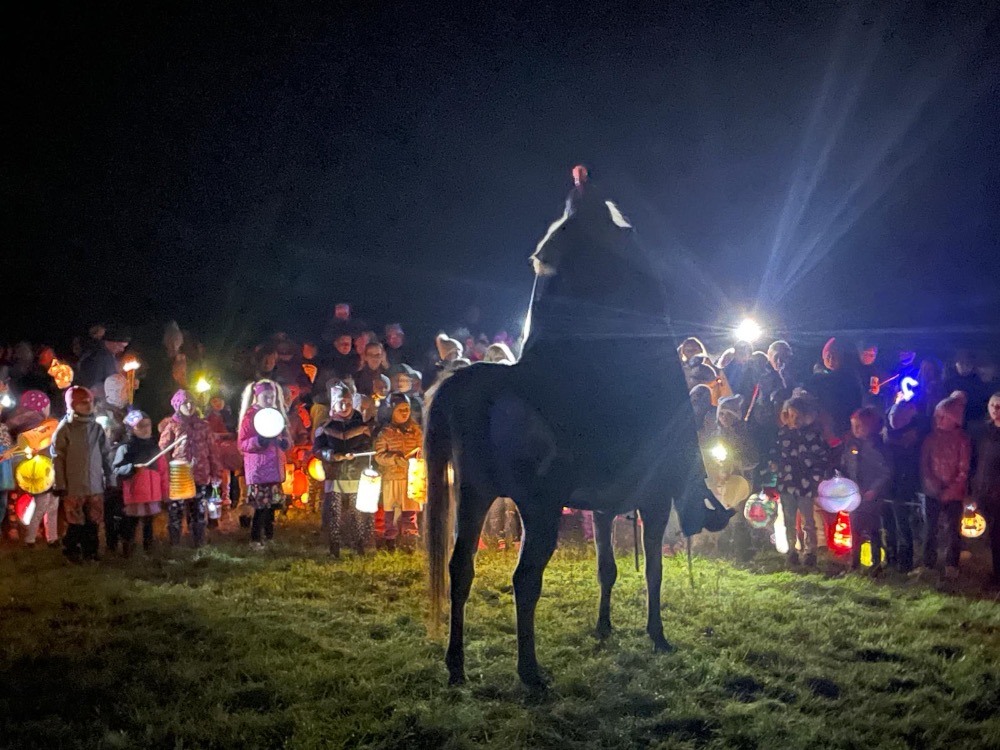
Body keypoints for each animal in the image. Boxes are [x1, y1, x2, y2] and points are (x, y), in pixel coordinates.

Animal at [426, 169, 732, 688]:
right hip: (539, 506)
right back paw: (530, 672)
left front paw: (604, 625)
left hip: (473, 494)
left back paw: (456, 665)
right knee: (524, 580)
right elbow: (653, 570)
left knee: (460, 569)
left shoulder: (604, 509)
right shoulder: (653, 501)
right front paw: (656, 633)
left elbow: (607, 568)